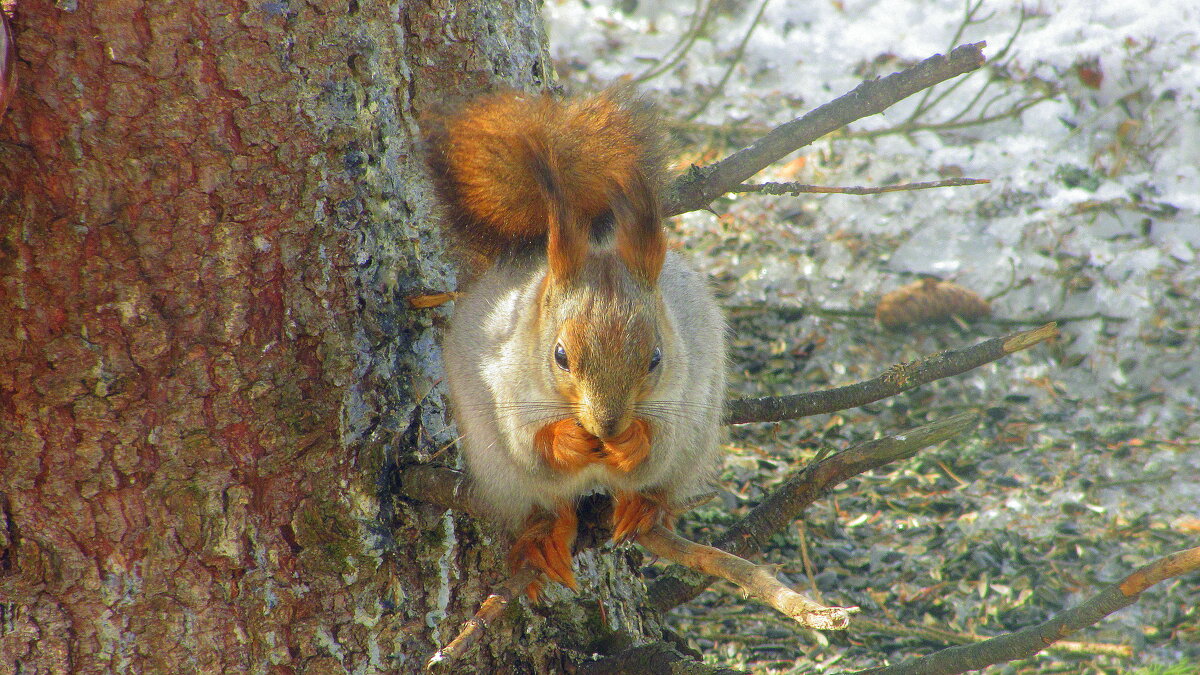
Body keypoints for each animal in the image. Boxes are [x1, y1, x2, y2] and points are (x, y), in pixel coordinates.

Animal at [434, 88, 729, 593]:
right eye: (560, 356)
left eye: (655, 358)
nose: (607, 426)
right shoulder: (505, 386)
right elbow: (532, 446)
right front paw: (567, 440)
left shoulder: (680, 393)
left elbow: (656, 445)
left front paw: (631, 443)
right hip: (502, 476)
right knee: (551, 504)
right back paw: (543, 537)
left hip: (697, 439)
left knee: (659, 482)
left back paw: (645, 506)